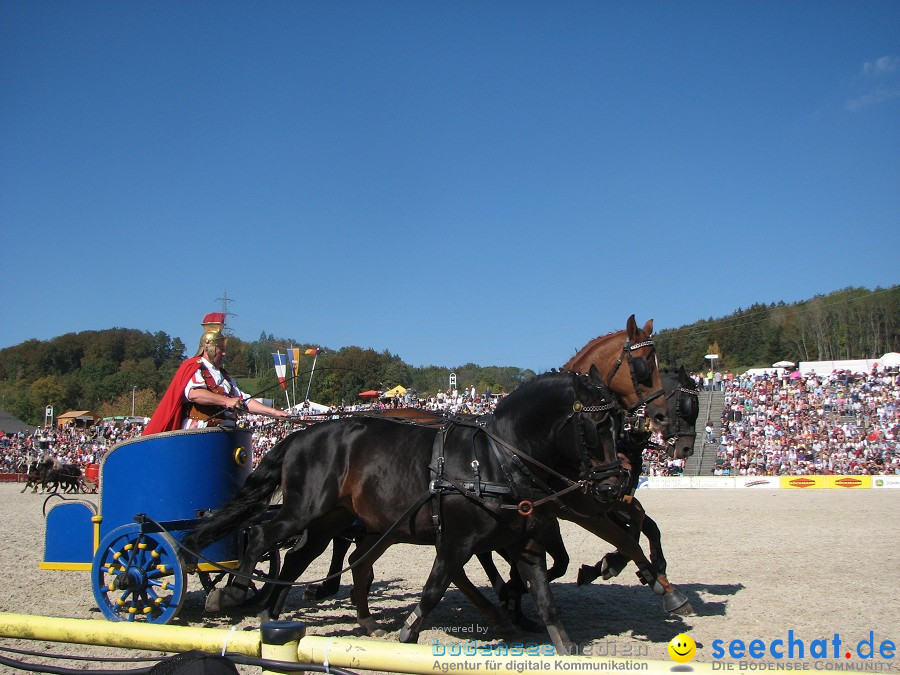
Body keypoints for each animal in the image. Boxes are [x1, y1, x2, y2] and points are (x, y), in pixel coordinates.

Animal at [188, 370, 624, 656]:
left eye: (620, 422)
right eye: (595, 423)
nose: (614, 486)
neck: (496, 460)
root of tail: (300, 434)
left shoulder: (527, 545)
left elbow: (545, 597)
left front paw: (563, 644)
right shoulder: (456, 541)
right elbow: (434, 588)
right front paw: (410, 632)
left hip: (329, 519)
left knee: (299, 559)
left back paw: (275, 613)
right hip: (304, 510)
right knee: (264, 538)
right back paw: (235, 592)